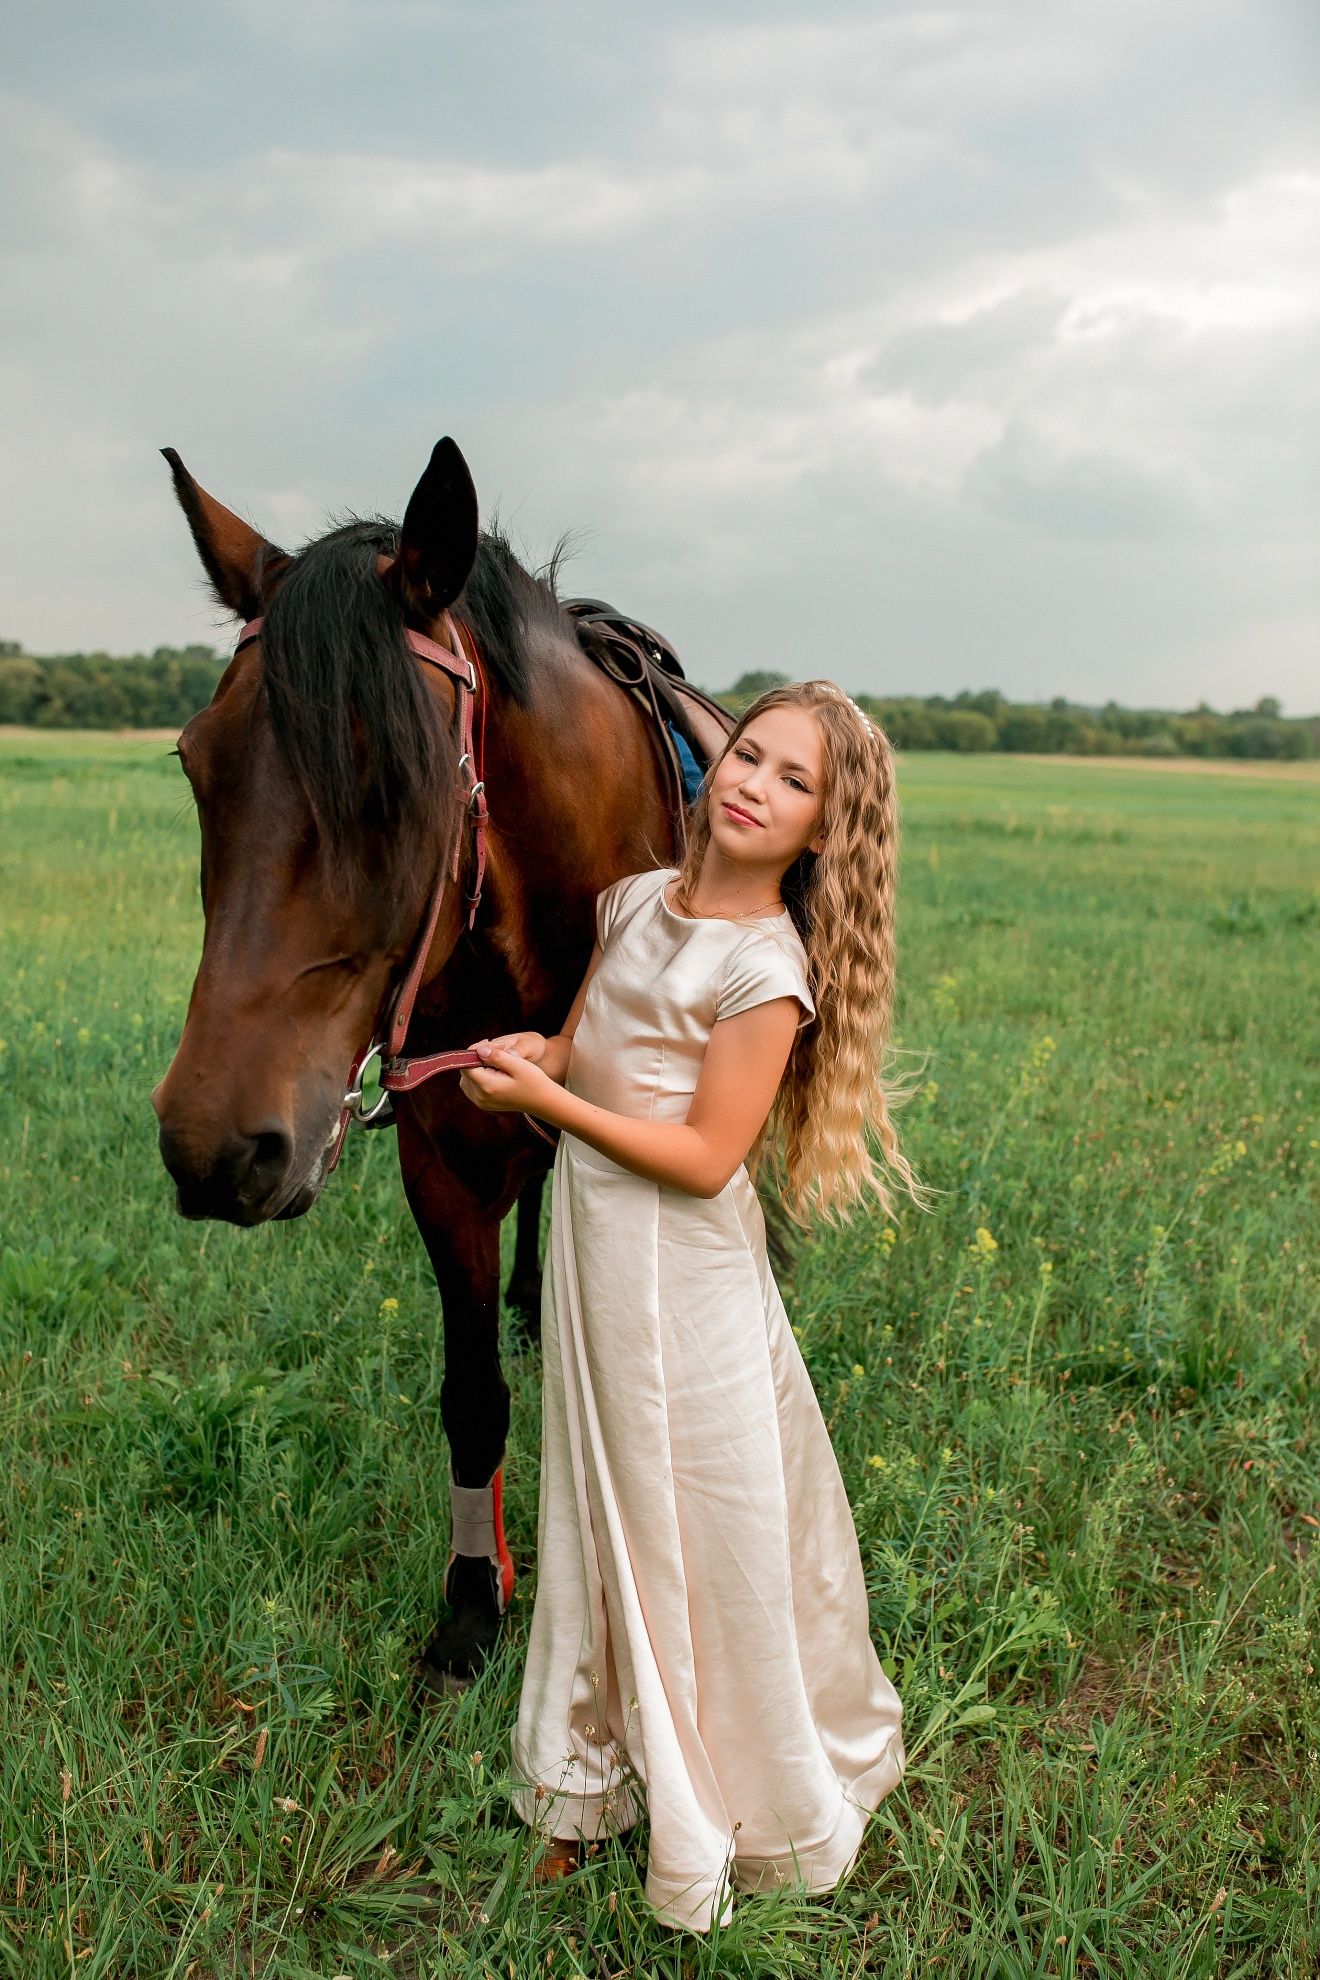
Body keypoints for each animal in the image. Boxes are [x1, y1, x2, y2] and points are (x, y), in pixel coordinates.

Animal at [157, 437, 732, 1686]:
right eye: (192, 763)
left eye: (396, 782)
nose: (214, 1146)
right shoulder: (445, 1164)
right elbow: (473, 1397)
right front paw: (473, 1606)